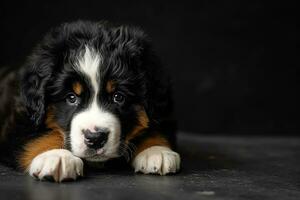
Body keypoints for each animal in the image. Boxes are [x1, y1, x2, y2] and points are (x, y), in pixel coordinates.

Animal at [0, 20, 180, 181]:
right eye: (71, 97)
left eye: (118, 97)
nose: (95, 138)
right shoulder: (20, 115)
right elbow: (36, 136)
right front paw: (56, 156)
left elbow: (154, 125)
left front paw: (156, 150)